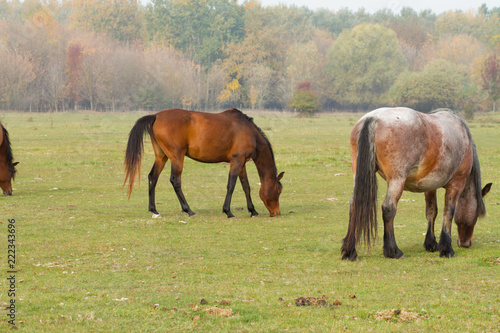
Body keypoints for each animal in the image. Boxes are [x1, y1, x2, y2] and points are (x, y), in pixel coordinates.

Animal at [123, 108, 284, 218]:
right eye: (278, 190)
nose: (277, 212)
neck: (249, 132)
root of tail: (156, 116)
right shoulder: (237, 160)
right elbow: (231, 185)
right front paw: (228, 211)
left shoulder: (242, 162)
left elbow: (246, 187)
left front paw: (253, 211)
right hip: (176, 157)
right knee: (175, 181)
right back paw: (188, 210)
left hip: (161, 157)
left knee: (152, 178)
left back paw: (154, 210)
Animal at [342, 107, 490, 260]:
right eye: (477, 214)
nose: (466, 243)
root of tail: (373, 118)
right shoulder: (456, 184)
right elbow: (448, 213)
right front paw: (446, 249)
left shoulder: (430, 186)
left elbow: (432, 211)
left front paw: (431, 244)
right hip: (397, 180)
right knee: (389, 208)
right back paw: (393, 251)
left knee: (355, 205)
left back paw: (350, 251)